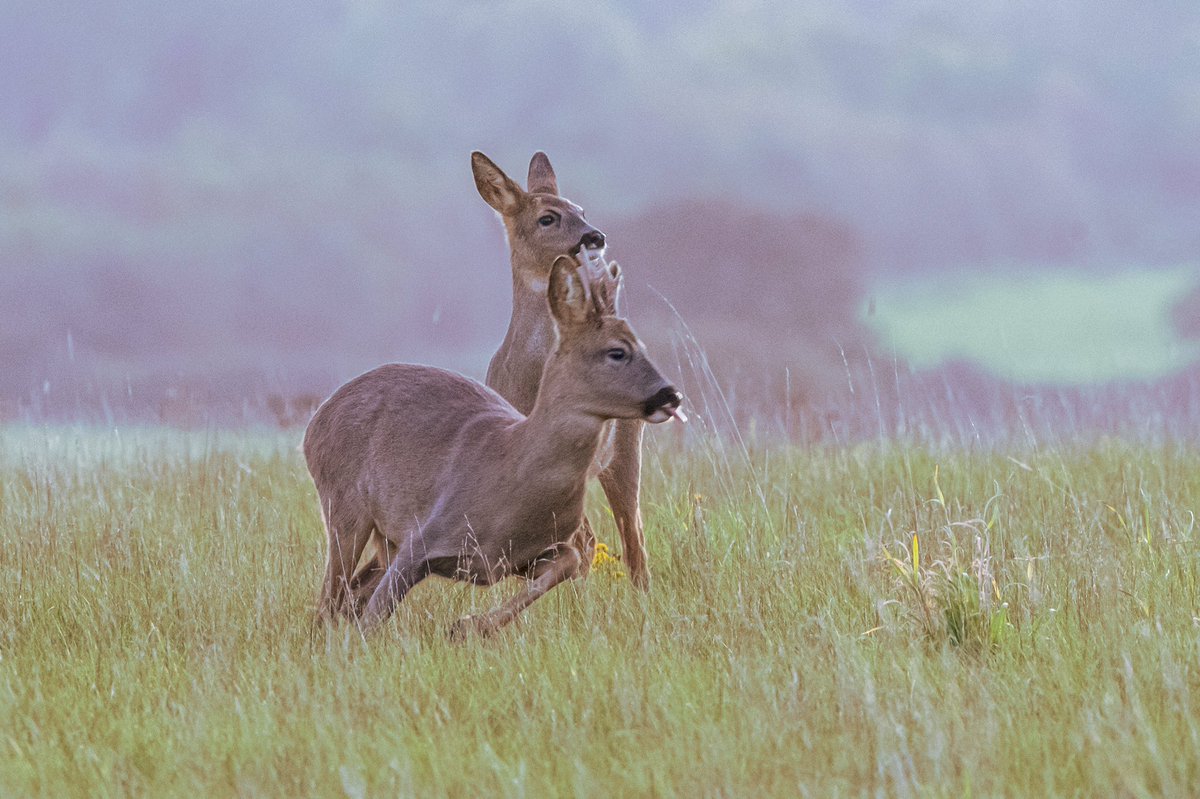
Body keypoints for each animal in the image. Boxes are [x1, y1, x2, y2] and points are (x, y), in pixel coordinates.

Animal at [304, 254, 684, 635]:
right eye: (617, 352)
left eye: (643, 347)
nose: (671, 394)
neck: (515, 470)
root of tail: (316, 422)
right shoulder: (422, 539)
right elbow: (373, 617)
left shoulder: (511, 557)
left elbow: (570, 560)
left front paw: (469, 626)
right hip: (345, 505)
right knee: (329, 600)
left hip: (383, 535)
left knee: (346, 597)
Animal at [469, 150, 658, 588]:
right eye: (547, 218)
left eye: (581, 209)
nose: (595, 236)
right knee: (623, 538)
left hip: (626, 445)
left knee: (625, 538)